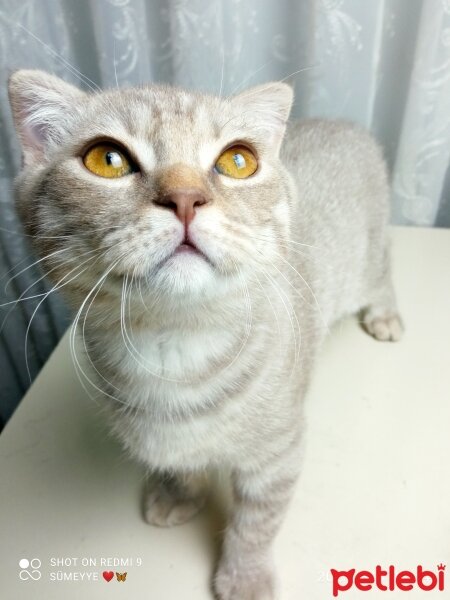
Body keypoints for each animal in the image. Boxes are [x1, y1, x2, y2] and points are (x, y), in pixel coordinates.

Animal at [7, 71, 400, 600]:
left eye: (238, 160)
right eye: (107, 159)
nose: (185, 199)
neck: (172, 344)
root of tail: (346, 125)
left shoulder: (279, 450)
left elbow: (257, 521)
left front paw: (246, 575)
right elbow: (181, 462)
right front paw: (180, 493)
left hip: (369, 259)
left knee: (383, 274)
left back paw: (385, 315)